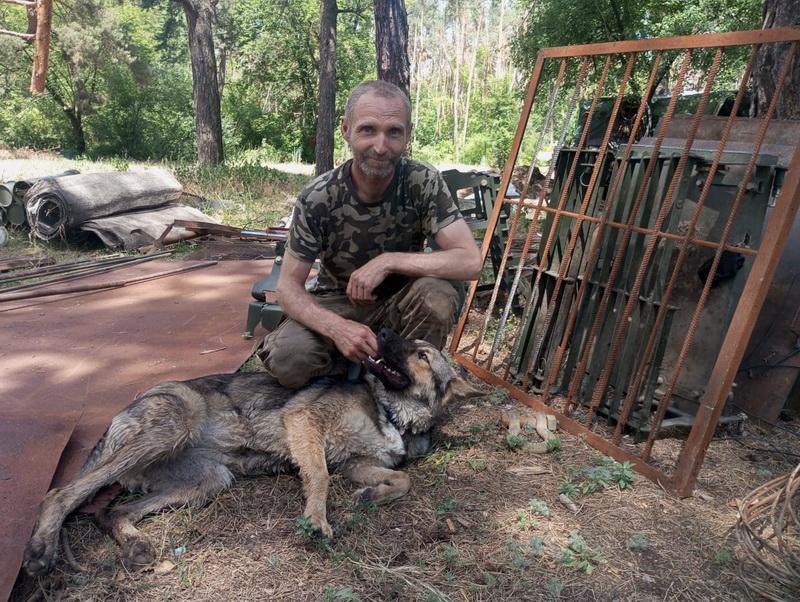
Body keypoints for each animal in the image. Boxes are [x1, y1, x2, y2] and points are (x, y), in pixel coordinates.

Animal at [21, 326, 478, 576]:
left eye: (422, 354)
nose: (378, 331)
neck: (391, 412)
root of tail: (121, 412)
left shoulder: (357, 463)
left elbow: (403, 478)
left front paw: (371, 496)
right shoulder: (305, 424)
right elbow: (319, 477)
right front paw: (316, 519)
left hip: (207, 481)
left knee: (114, 512)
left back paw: (135, 545)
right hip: (171, 428)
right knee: (61, 494)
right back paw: (42, 550)